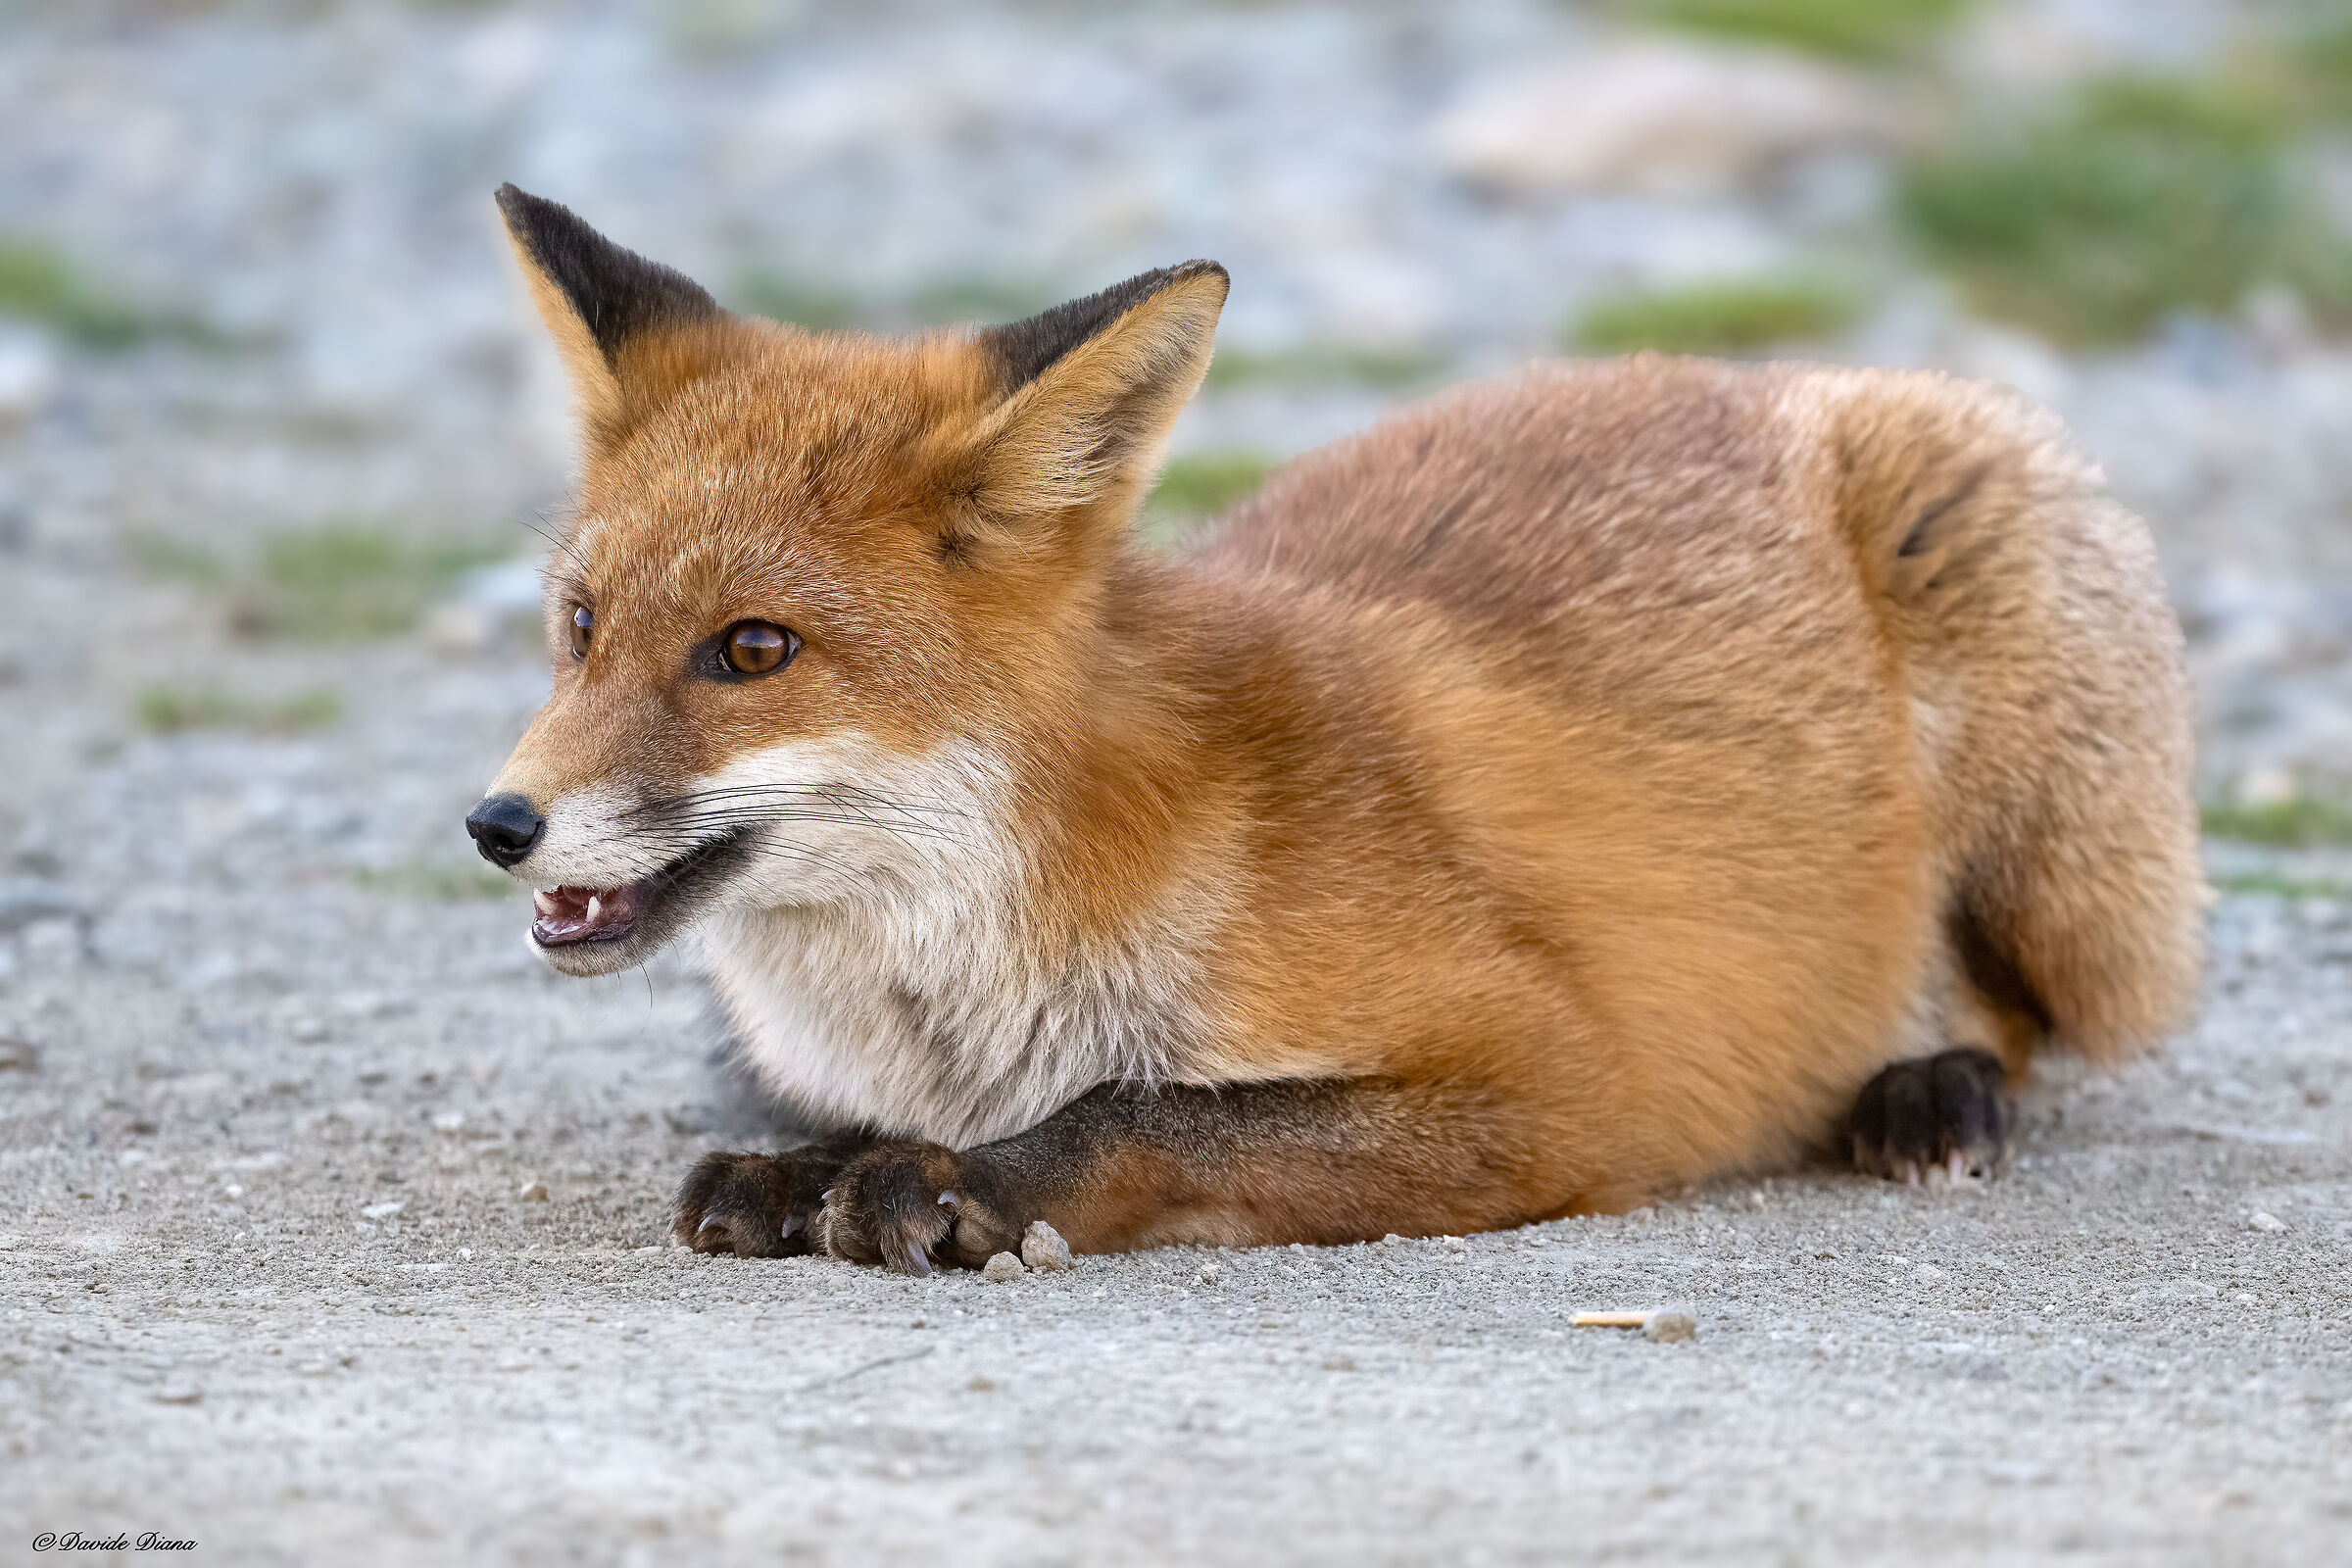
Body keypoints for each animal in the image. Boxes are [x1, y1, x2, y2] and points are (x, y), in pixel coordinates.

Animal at [466, 185, 2203, 1275]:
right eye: (580, 625)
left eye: (753, 650)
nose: (497, 825)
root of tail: (1745, 371)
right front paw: (813, 1167)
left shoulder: (1558, 1077)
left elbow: (1151, 1108)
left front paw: (970, 1185)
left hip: (2049, 834)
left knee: (2021, 1018)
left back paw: (1927, 1092)